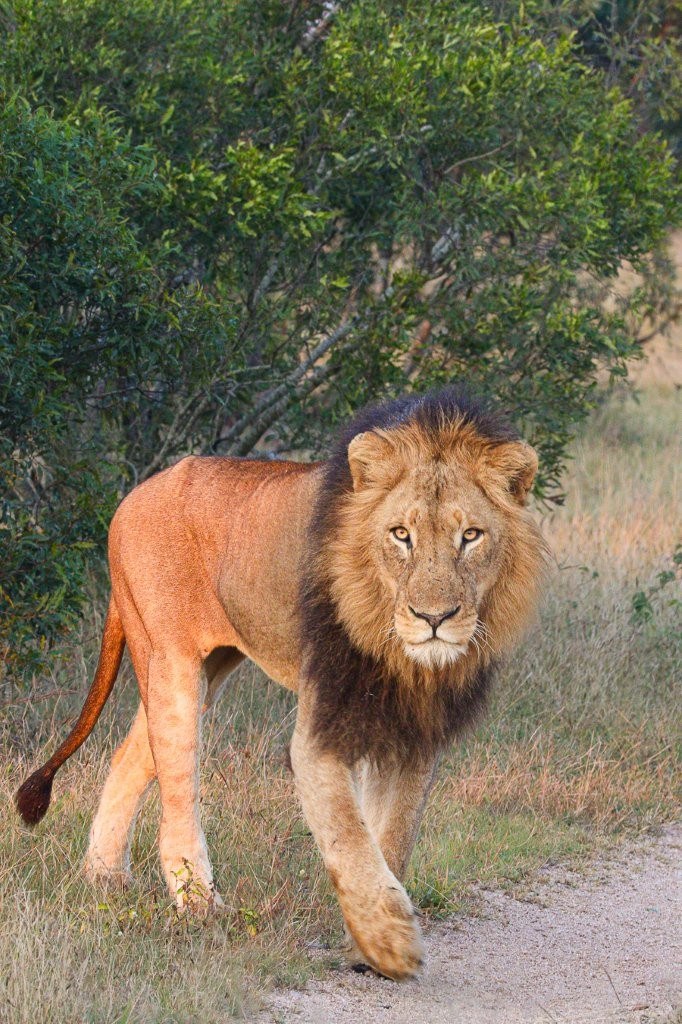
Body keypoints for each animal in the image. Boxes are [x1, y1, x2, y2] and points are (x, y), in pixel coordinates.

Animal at [16, 385, 547, 980]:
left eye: (471, 536)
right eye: (401, 536)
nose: (433, 617)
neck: (400, 657)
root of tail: (133, 495)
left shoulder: (414, 735)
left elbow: (391, 836)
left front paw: (365, 942)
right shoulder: (318, 733)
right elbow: (348, 834)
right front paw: (389, 942)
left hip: (208, 668)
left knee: (128, 756)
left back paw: (104, 878)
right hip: (173, 662)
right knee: (177, 795)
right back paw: (201, 908)